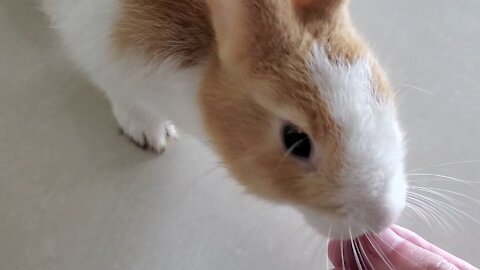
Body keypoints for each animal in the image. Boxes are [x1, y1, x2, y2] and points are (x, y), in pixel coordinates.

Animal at [43, 0, 406, 240]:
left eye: (377, 88)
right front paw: (150, 134)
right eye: (296, 141)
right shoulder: (100, 55)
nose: (382, 217)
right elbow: (125, 99)